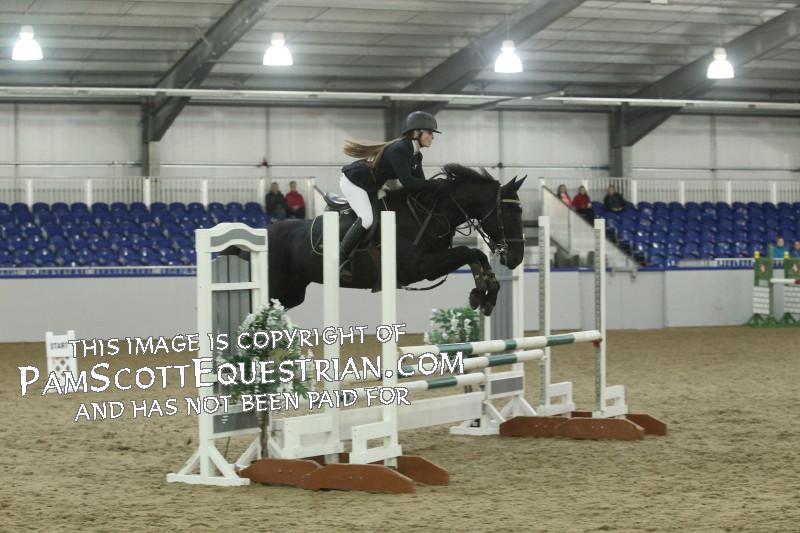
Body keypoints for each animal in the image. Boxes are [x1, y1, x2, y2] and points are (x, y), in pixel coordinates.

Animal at [266, 164, 526, 316]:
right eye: (510, 213)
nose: (516, 258)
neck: (428, 213)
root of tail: (267, 230)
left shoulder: (431, 266)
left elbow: (477, 255)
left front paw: (484, 295)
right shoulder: (419, 267)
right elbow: (469, 252)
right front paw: (482, 294)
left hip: (291, 295)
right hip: (276, 290)